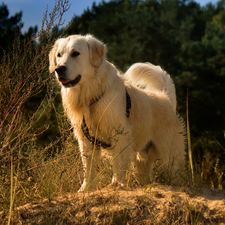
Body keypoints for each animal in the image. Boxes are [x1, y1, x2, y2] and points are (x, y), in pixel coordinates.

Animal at [48, 33, 185, 192]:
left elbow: (118, 163)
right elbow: (88, 168)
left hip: (168, 152)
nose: (58, 69)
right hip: (141, 159)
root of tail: (165, 97)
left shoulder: (119, 133)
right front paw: (86, 188)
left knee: (174, 172)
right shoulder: (86, 139)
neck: (91, 94)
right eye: (59, 55)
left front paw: (116, 184)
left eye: (75, 53)